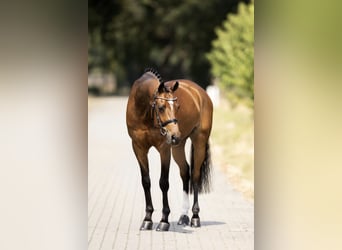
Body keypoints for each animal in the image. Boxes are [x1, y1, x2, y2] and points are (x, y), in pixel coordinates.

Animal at [125, 68, 212, 230]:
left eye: (177, 107)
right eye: (161, 107)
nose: (175, 135)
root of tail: (200, 92)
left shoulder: (164, 149)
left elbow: (163, 182)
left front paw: (164, 221)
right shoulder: (138, 148)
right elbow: (146, 181)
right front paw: (147, 219)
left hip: (199, 141)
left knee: (195, 175)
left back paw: (195, 217)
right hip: (178, 147)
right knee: (185, 172)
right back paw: (183, 216)